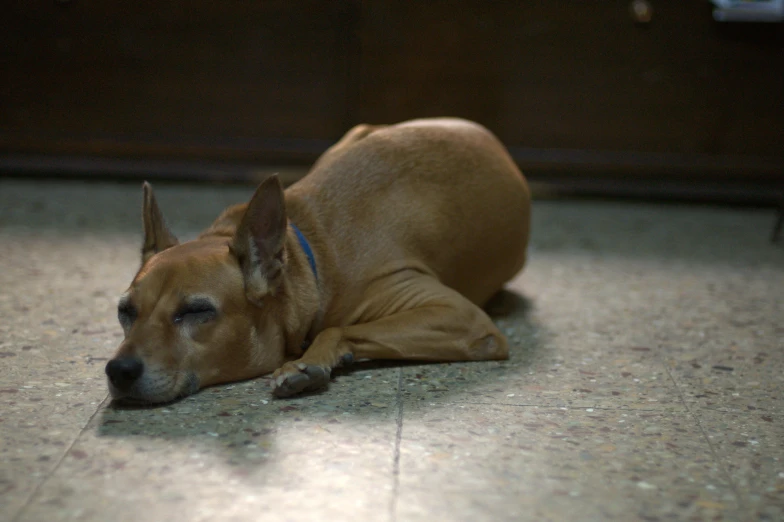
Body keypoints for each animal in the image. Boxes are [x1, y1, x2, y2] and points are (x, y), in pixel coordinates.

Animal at [104, 119, 528, 402]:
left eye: (196, 311)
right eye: (126, 311)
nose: (118, 370)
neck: (314, 261)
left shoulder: (462, 317)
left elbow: (336, 329)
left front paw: (309, 363)